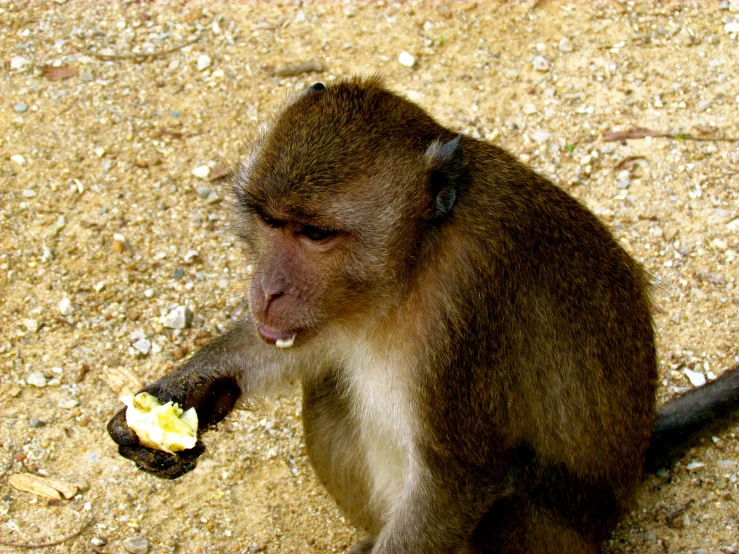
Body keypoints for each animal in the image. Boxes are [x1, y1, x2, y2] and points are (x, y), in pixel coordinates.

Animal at [107, 77, 736, 552]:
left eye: (315, 234)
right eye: (269, 220)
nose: (268, 291)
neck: (415, 259)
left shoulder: (471, 303)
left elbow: (460, 478)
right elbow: (298, 346)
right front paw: (176, 397)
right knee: (329, 389)